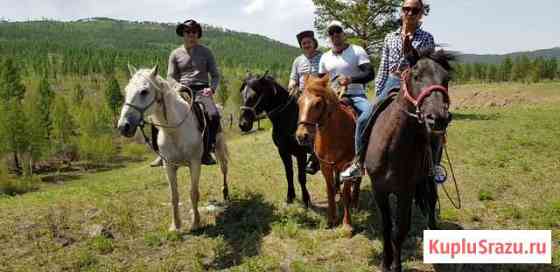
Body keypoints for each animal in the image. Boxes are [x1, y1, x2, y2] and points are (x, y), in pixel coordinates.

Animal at [117, 65, 229, 231]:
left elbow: (193, 193)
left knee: (224, 169)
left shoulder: (195, 163)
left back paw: (226, 193)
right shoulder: (168, 166)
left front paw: (196, 222)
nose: (123, 126)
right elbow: (173, 196)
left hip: (220, 149)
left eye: (144, 91)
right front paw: (175, 225)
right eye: (126, 90)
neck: (175, 130)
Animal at [238, 73, 312, 207]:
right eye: (243, 95)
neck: (288, 118)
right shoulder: (283, 151)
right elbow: (289, 174)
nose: (243, 124)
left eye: (254, 96)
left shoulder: (301, 153)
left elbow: (301, 177)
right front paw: (290, 196)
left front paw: (306, 199)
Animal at [296, 74, 360, 230]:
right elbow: (330, 190)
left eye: (318, 103)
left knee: (357, 181)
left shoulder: (347, 166)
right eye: (299, 102)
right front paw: (331, 220)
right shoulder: (325, 166)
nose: (301, 136)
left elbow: (346, 192)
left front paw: (347, 224)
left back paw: (355, 202)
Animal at [364, 49, 456, 272]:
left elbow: (400, 231)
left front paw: (396, 266)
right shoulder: (378, 189)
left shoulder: (405, 191)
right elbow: (386, 227)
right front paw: (385, 263)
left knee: (431, 202)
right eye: (416, 75)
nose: (438, 118)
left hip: (430, 176)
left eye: (446, 79)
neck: (391, 147)